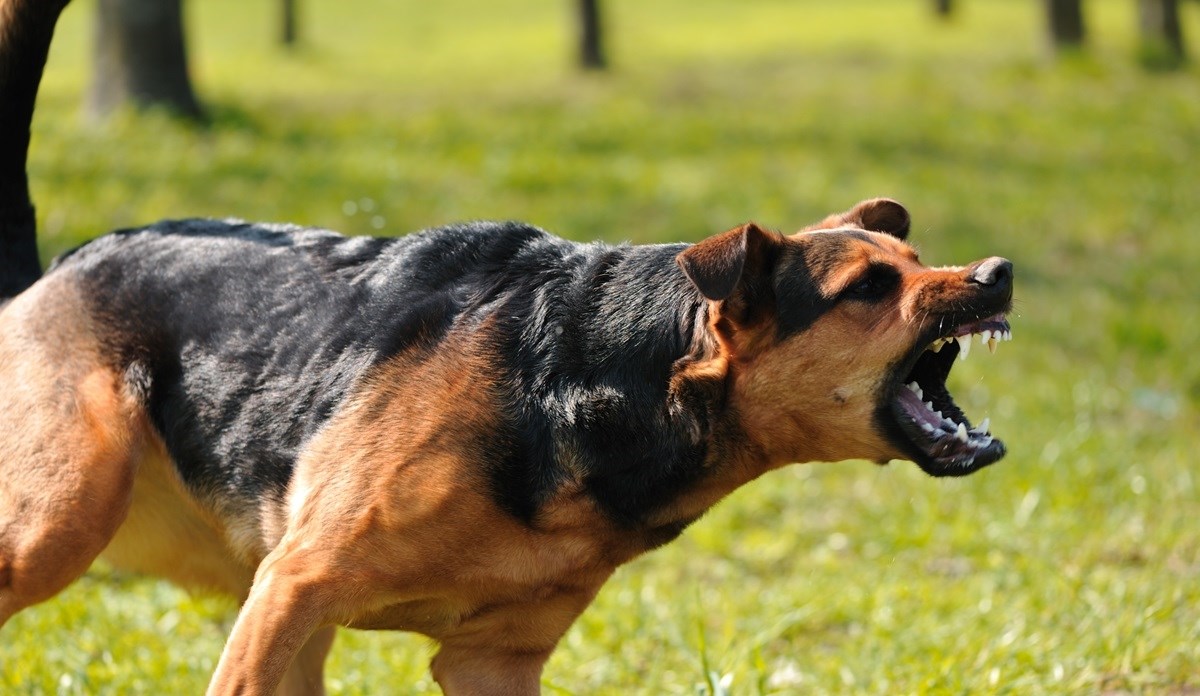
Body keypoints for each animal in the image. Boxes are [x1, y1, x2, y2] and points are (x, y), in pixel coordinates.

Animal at [0, 1, 1012, 691]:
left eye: (915, 259)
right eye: (869, 288)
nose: (998, 272)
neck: (597, 381)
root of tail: (50, 271)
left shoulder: (489, 660)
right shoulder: (294, 586)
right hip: (63, 523)